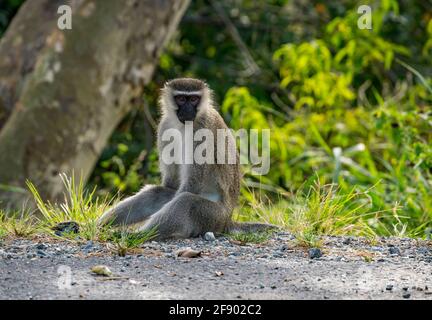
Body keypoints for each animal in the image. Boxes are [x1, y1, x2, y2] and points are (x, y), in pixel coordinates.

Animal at [98, 77, 276, 239]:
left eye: (194, 99)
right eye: (182, 99)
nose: (188, 110)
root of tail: (227, 221)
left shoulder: (202, 131)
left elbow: (192, 185)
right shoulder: (165, 126)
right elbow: (170, 184)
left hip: (212, 217)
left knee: (186, 201)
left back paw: (139, 235)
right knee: (155, 193)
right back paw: (100, 226)